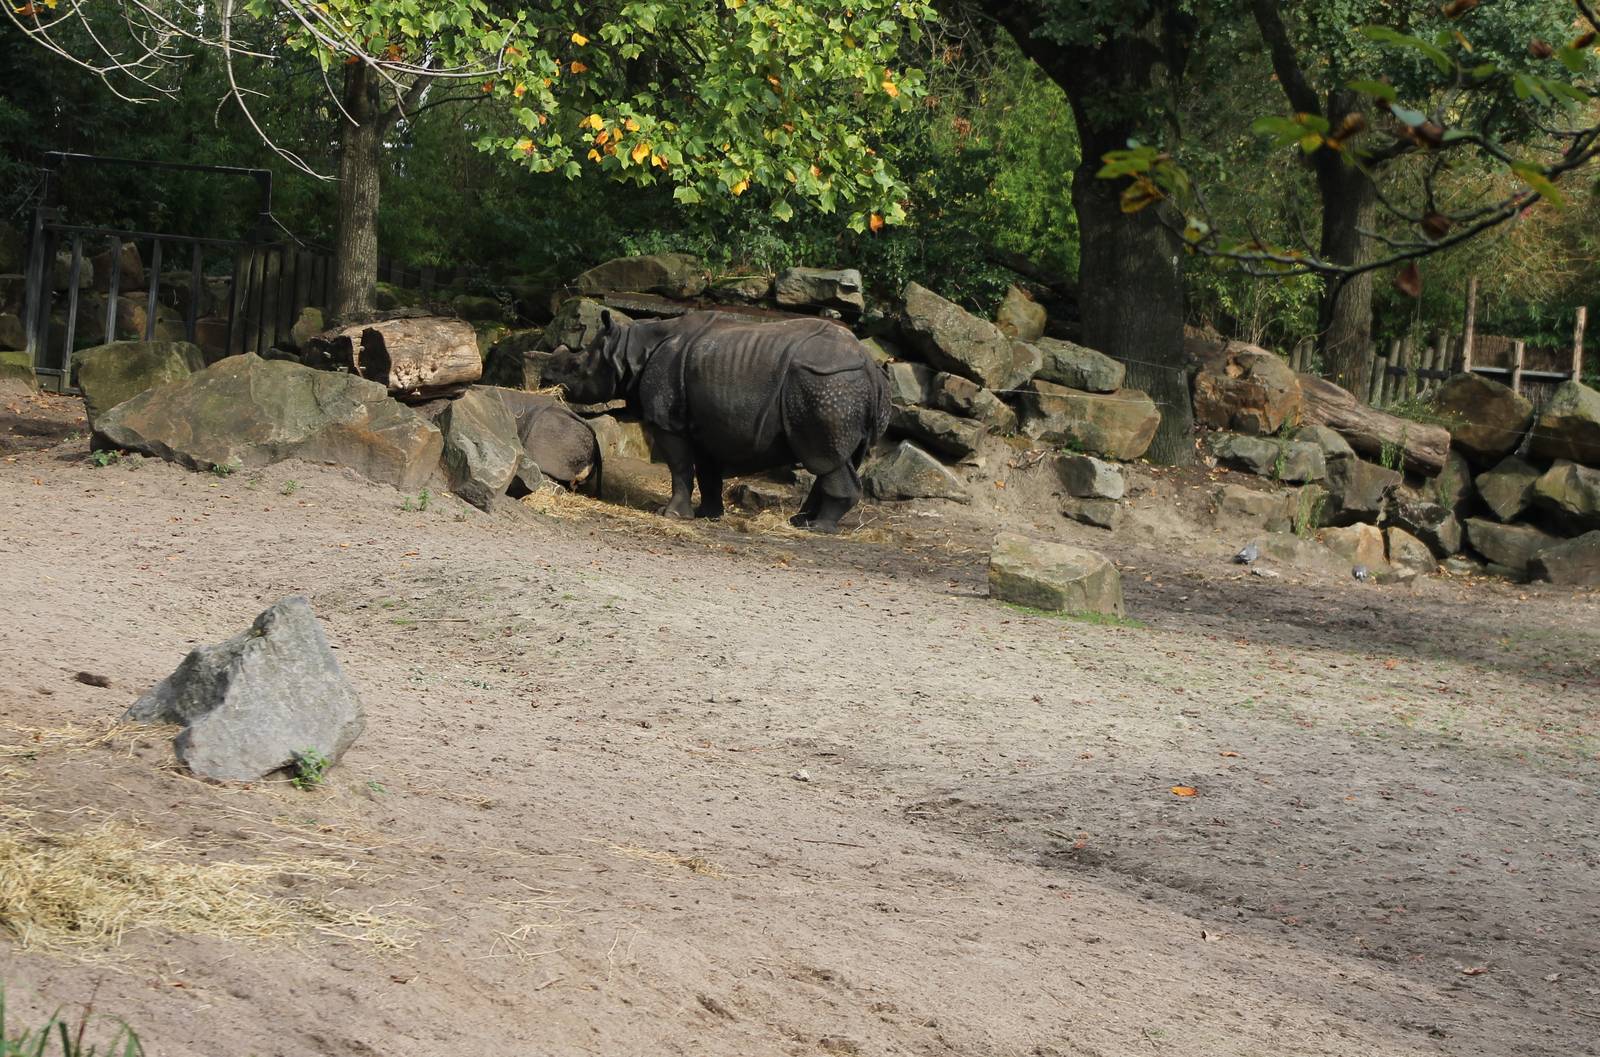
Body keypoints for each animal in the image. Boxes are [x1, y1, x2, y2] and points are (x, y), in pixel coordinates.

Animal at [543, 310, 891, 532]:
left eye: (575, 367)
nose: (547, 378)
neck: (629, 349)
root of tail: (872, 367)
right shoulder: (704, 423)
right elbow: (707, 472)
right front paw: (707, 515)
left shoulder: (668, 422)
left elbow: (680, 467)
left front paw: (671, 515)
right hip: (840, 388)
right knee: (839, 458)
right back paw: (801, 522)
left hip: (827, 384)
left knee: (823, 456)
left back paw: (819, 528)